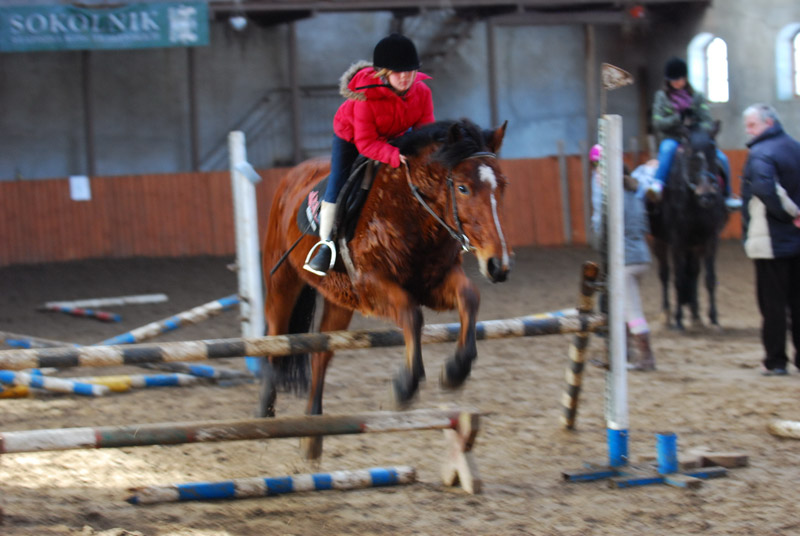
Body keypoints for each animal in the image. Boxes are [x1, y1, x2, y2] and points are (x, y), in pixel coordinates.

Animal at [260, 119, 512, 458]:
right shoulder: (372, 286)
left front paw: (457, 369)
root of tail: (292, 174)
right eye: (462, 187)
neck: (412, 212)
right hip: (282, 281)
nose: (498, 265)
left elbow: (469, 297)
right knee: (275, 339)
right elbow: (411, 314)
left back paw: (312, 433)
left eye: (502, 185)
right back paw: (264, 412)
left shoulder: (433, 283)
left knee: (321, 355)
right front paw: (405, 387)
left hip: (340, 299)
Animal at [648, 122, 732, 330]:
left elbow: (709, 278)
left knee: (693, 273)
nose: (707, 195)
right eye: (690, 155)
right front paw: (678, 319)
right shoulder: (677, 240)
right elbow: (678, 279)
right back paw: (666, 314)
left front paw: (713, 318)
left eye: (713, 150)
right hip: (659, 241)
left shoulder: (710, 239)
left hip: (694, 245)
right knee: (665, 274)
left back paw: (695, 315)